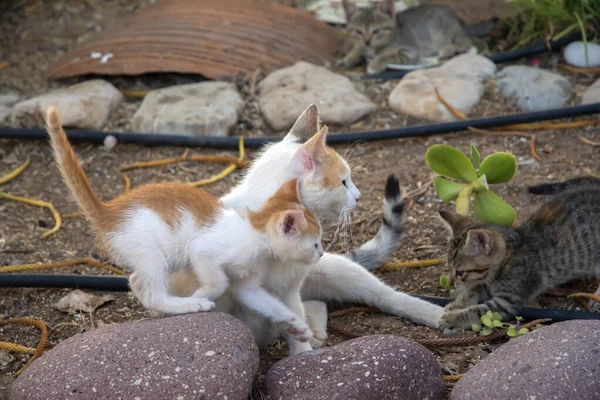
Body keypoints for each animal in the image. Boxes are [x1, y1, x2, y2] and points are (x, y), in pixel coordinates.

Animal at [45, 107, 324, 344]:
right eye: (315, 244)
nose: (321, 254)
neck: (255, 234)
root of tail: (109, 211)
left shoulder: (247, 284)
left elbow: (268, 302)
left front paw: (295, 324)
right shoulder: (203, 251)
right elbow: (218, 282)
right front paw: (199, 297)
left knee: (137, 282)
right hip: (153, 252)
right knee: (153, 291)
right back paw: (187, 306)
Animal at [340, 0, 476, 74]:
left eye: (376, 31)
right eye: (359, 32)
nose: (367, 41)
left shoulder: (410, 52)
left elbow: (388, 56)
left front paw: (374, 65)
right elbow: (359, 47)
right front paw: (350, 56)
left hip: (451, 31)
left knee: (466, 41)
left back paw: (447, 49)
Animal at [438, 177, 596, 330]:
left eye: (460, 272)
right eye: (449, 268)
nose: (450, 284)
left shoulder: (508, 301)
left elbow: (477, 311)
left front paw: (452, 318)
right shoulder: (487, 284)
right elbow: (473, 289)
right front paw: (456, 304)